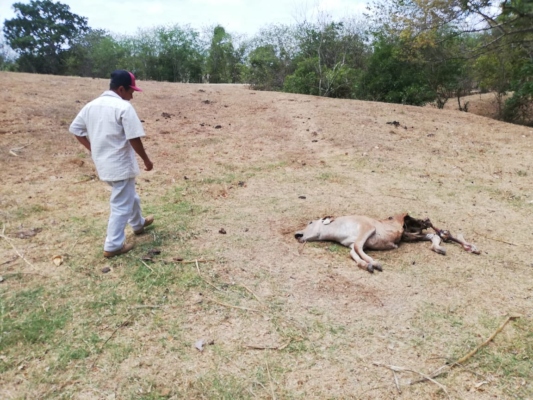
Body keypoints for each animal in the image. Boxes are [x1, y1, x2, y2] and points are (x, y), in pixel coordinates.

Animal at [294, 214, 480, 274]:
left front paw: (375, 264)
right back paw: (439, 247)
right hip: (409, 235)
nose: (297, 234)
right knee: (433, 235)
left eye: (310, 222)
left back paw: (471, 247)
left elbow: (358, 249)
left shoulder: (366, 229)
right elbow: (354, 253)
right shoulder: (352, 243)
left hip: (414, 224)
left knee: (436, 228)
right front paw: (367, 265)